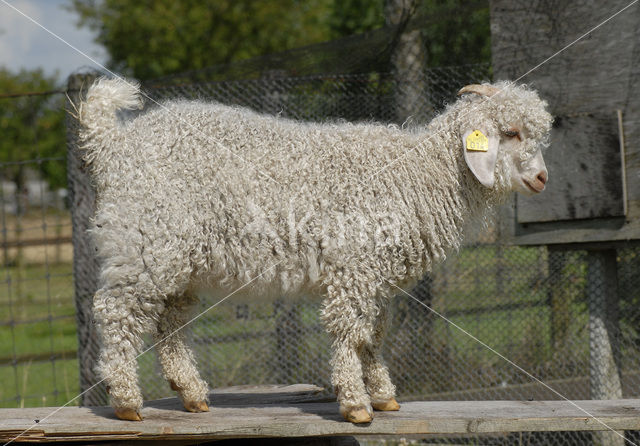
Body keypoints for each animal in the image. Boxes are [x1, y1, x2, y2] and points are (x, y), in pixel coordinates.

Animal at [77, 78, 552, 424]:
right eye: (510, 133)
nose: (542, 179)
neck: (419, 173)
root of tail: (113, 144)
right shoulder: (354, 267)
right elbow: (349, 332)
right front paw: (356, 403)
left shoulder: (376, 278)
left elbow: (372, 335)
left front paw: (383, 396)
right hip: (143, 244)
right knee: (115, 312)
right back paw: (126, 401)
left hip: (177, 259)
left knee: (170, 321)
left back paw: (191, 394)